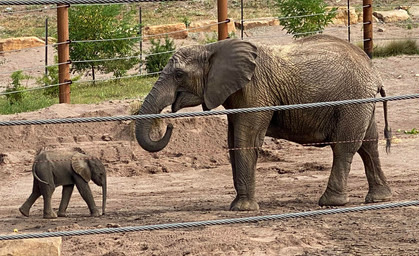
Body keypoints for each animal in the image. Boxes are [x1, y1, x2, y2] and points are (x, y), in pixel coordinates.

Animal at [135, 35, 394, 211]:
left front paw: (241, 209)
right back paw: (380, 198)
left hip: (353, 101)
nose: (169, 123)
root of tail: (375, 73)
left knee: (344, 146)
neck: (212, 48)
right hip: (361, 102)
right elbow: (233, 140)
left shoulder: (255, 91)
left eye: (179, 75)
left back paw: (331, 202)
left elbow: (246, 139)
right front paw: (239, 205)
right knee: (369, 144)